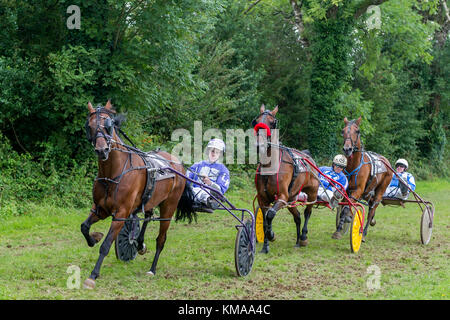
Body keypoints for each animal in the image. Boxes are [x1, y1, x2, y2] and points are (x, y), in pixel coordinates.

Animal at [81, 99, 194, 288]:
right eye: (89, 126)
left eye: (108, 124)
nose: (101, 150)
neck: (113, 173)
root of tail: (177, 163)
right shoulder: (100, 209)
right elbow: (84, 227)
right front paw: (94, 238)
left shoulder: (121, 213)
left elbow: (106, 244)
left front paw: (93, 275)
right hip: (149, 199)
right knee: (147, 216)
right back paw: (139, 244)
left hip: (169, 206)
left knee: (161, 239)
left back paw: (152, 269)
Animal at [253, 104, 320, 254]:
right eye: (256, 121)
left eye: (272, 122)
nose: (259, 145)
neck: (270, 168)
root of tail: (308, 157)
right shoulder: (263, 199)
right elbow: (265, 220)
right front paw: (266, 245)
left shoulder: (282, 197)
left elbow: (270, 215)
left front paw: (271, 235)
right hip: (291, 199)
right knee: (297, 216)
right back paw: (297, 242)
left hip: (312, 192)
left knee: (307, 212)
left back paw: (303, 237)